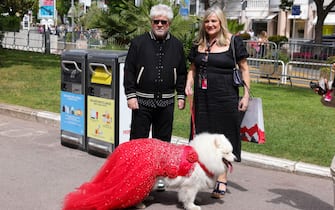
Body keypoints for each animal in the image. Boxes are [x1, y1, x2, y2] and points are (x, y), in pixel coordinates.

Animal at [63, 133, 236, 210]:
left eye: (232, 152)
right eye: (227, 153)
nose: (236, 158)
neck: (201, 157)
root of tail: (124, 148)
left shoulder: (191, 185)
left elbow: (192, 196)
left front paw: (196, 201)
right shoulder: (190, 185)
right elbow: (188, 197)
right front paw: (192, 206)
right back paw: (140, 203)